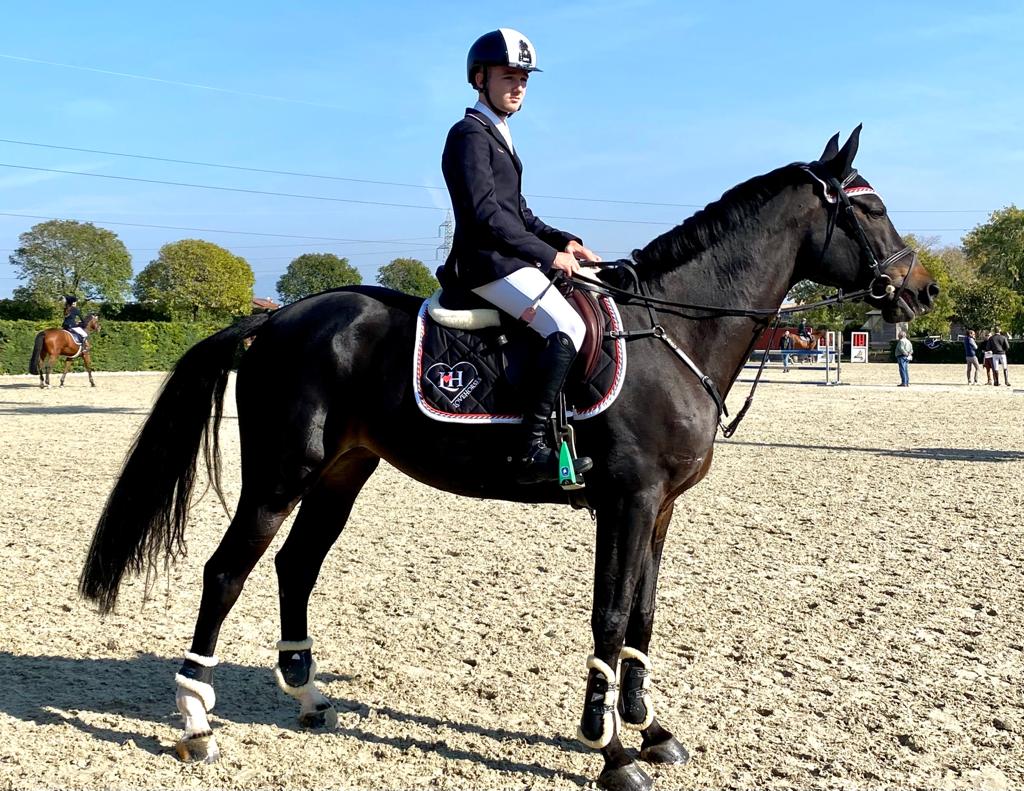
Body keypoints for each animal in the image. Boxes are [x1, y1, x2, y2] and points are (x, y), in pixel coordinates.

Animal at [79, 128, 938, 791]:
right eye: (869, 208)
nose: (922, 293)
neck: (677, 332)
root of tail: (281, 317)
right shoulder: (627, 499)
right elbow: (609, 614)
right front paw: (611, 750)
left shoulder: (660, 506)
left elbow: (644, 613)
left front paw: (650, 727)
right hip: (281, 473)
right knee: (227, 571)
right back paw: (197, 723)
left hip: (343, 470)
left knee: (297, 565)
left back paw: (310, 694)